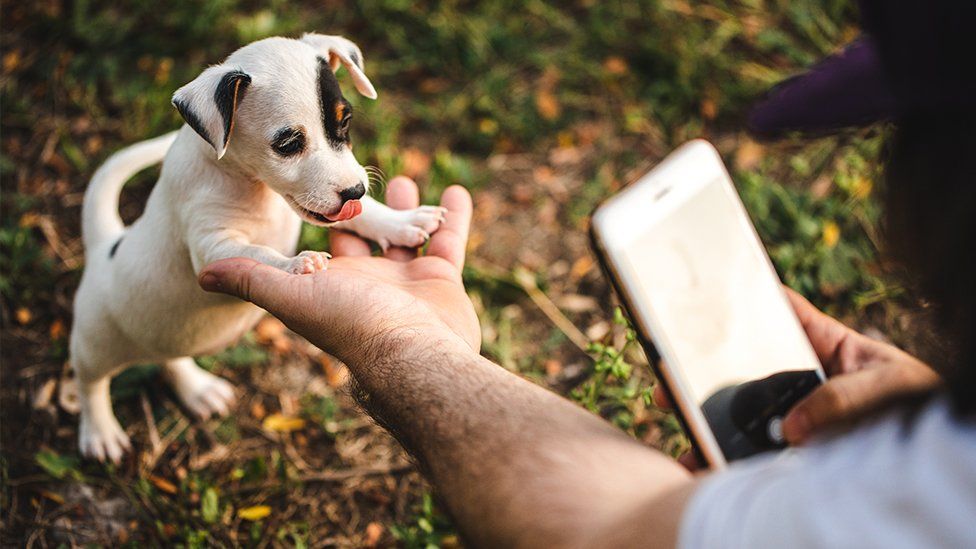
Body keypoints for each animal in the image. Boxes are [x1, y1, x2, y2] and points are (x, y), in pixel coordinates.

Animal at [69, 34, 446, 462]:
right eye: (288, 143)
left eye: (345, 121)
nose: (355, 191)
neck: (255, 187)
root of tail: (104, 246)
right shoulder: (212, 245)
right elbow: (260, 253)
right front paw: (298, 263)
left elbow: (359, 218)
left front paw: (401, 222)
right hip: (95, 341)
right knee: (90, 382)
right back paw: (100, 431)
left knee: (169, 356)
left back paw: (197, 390)